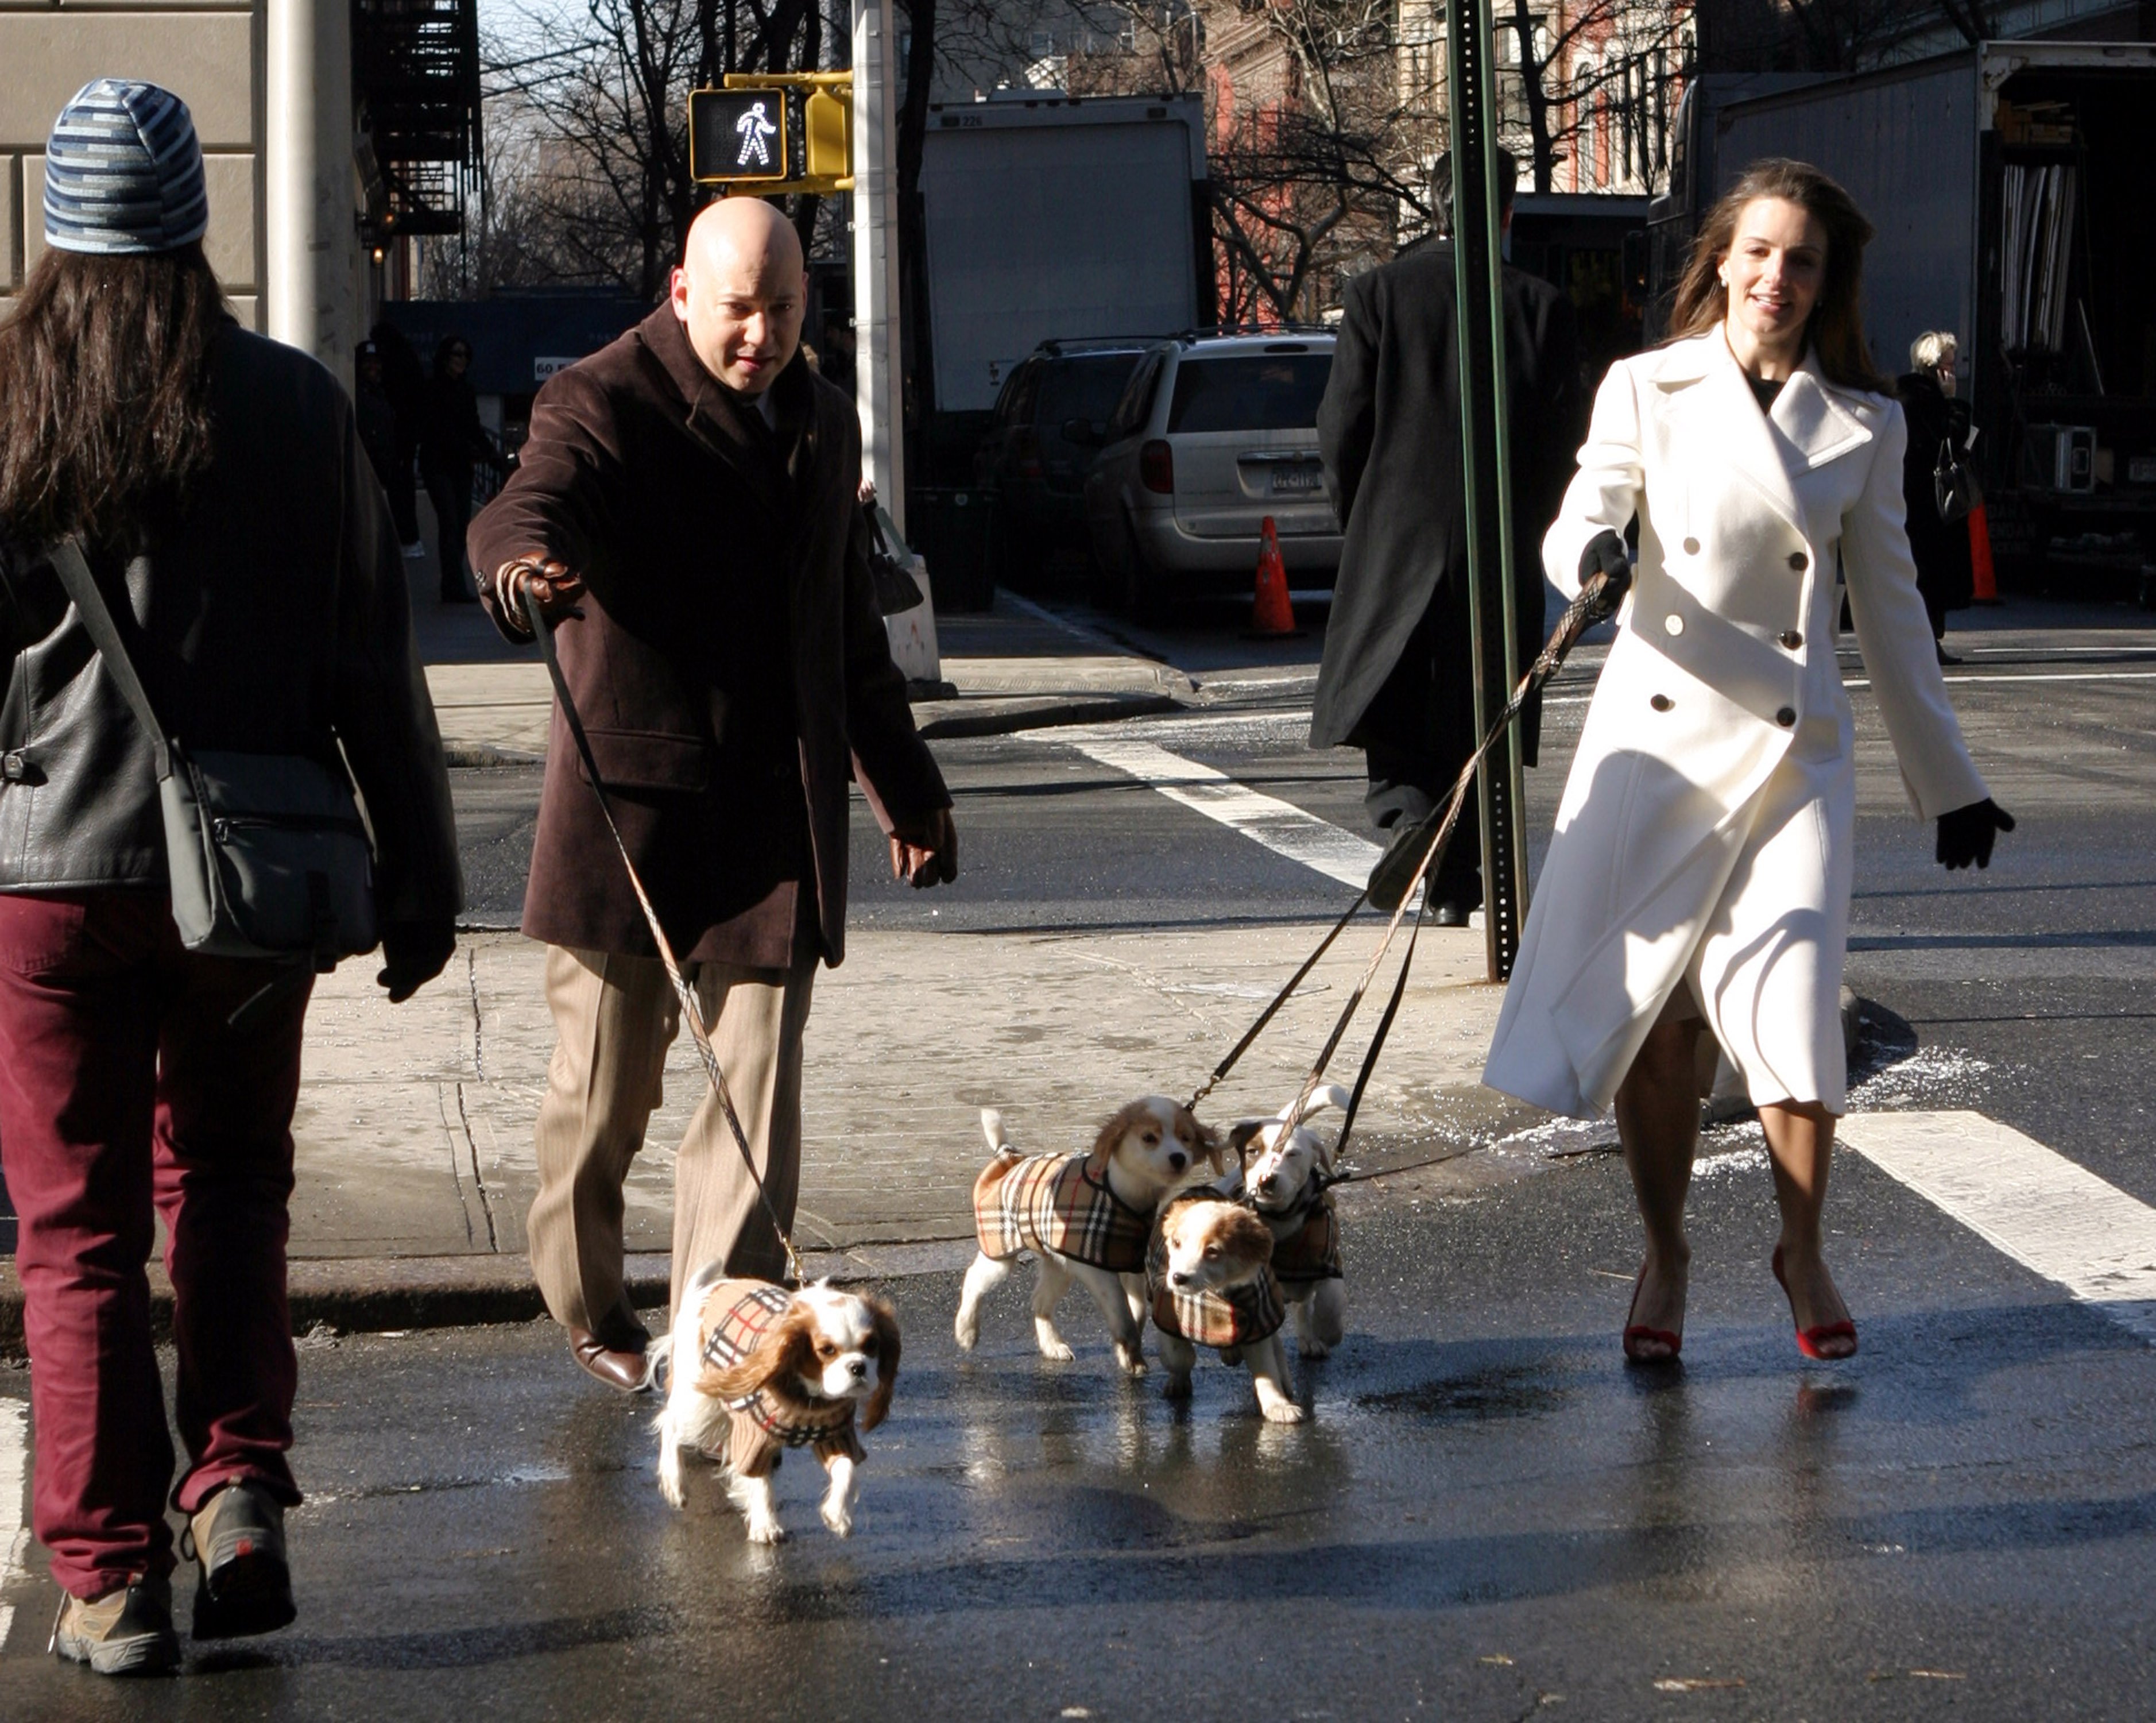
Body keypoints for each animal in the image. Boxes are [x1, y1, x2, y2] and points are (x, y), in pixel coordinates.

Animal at [953, 1104, 1224, 1389]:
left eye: (1186, 1138)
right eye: (1149, 1138)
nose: (1179, 1158)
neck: (1125, 1198)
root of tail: (1010, 1156)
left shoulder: (1132, 1267)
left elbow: (1137, 1312)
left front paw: (1128, 1351)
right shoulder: (1096, 1271)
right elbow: (1123, 1314)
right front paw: (1131, 1357)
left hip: (1059, 1265)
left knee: (1039, 1302)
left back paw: (1052, 1345)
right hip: (1001, 1255)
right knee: (973, 1280)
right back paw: (967, 1331)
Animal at [1147, 1190, 1294, 1423]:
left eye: (1212, 1251)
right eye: (1177, 1243)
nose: (1178, 1278)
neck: (1217, 1292)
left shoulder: (1257, 1319)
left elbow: (1267, 1370)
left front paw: (1278, 1405)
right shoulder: (1167, 1315)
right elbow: (1179, 1356)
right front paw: (1179, 1380)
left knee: (1276, 1344)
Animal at [1233, 1091, 1345, 1362]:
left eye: (1293, 1154)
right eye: (1253, 1151)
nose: (1267, 1180)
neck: (1281, 1219)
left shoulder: (1328, 1260)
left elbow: (1331, 1300)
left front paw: (1328, 1331)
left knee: (1304, 1305)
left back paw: (1309, 1338)